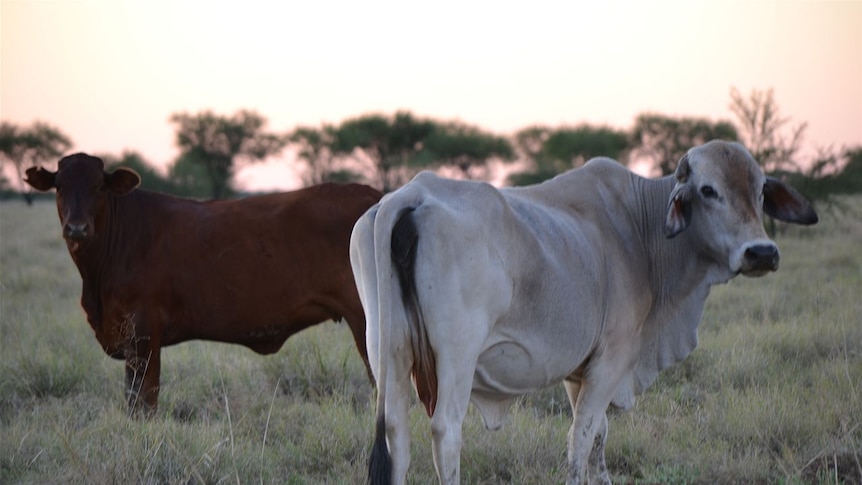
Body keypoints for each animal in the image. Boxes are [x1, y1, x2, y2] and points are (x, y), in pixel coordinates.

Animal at [25, 153, 384, 414]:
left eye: (100, 186)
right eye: (59, 186)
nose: (77, 228)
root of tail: (376, 195)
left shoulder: (144, 333)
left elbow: (144, 402)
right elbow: (131, 398)